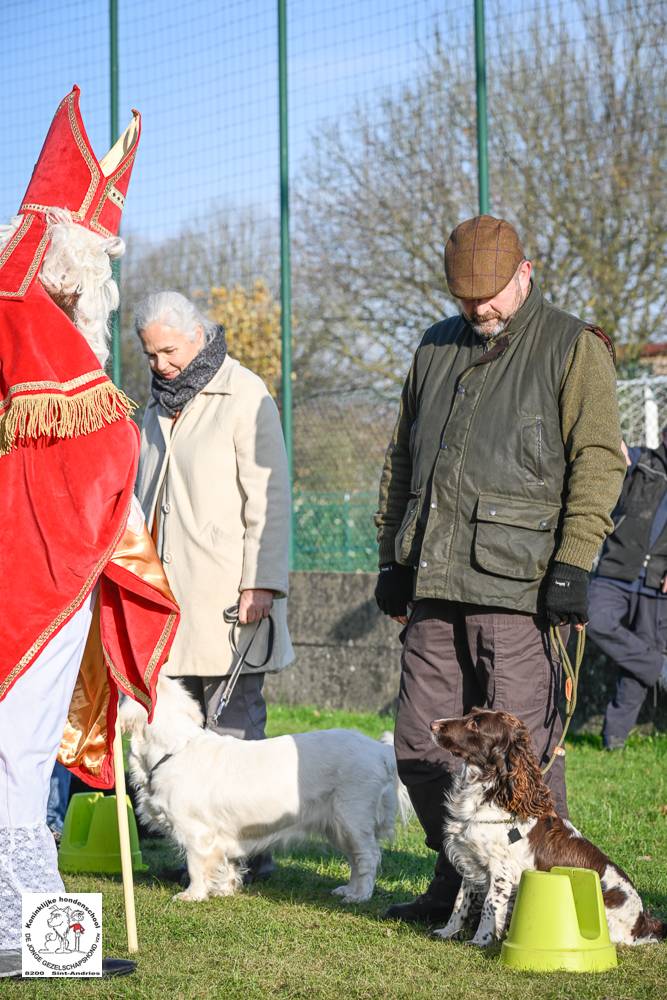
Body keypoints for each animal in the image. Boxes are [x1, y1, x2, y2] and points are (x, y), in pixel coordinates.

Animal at [118, 676, 408, 904]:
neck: (174, 748)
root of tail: (379, 750)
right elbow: (226, 863)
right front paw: (225, 889)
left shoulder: (196, 832)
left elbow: (196, 865)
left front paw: (193, 894)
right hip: (336, 826)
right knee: (356, 860)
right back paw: (348, 889)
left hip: (352, 818)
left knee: (367, 857)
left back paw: (359, 895)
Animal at [430, 708, 664, 948]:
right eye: (470, 714)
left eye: (476, 724)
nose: (433, 725)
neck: (488, 794)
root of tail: (642, 921)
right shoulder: (471, 861)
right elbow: (460, 902)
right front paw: (448, 931)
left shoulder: (501, 871)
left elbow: (489, 906)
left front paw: (480, 940)